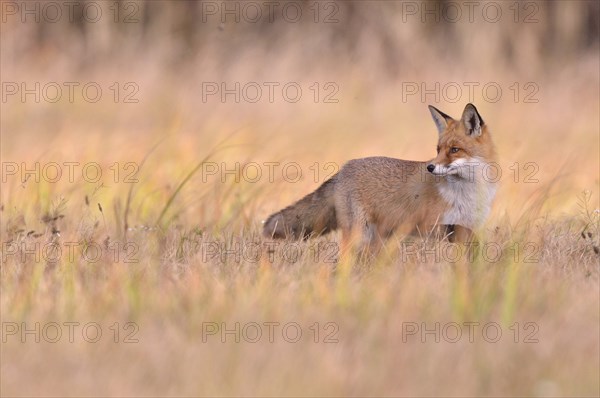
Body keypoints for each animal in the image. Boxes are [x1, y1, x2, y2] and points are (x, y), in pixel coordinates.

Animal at [262, 104, 496, 250]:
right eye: (438, 150)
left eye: (454, 150)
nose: (430, 167)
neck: (467, 194)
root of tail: (344, 168)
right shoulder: (430, 228)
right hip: (359, 234)